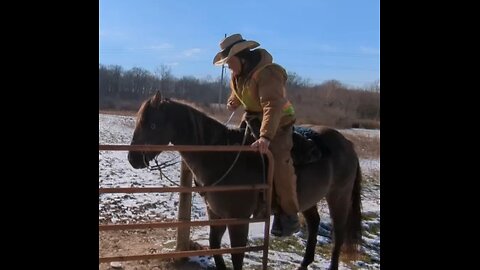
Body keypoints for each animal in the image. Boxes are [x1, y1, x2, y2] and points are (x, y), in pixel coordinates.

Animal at [127, 92, 364, 268]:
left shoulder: (238, 219)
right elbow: (215, 246)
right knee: (314, 224)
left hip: (339, 196)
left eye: (153, 125)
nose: (133, 159)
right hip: (309, 199)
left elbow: (237, 255)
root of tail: (347, 144)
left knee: (338, 234)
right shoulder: (215, 214)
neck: (221, 157)